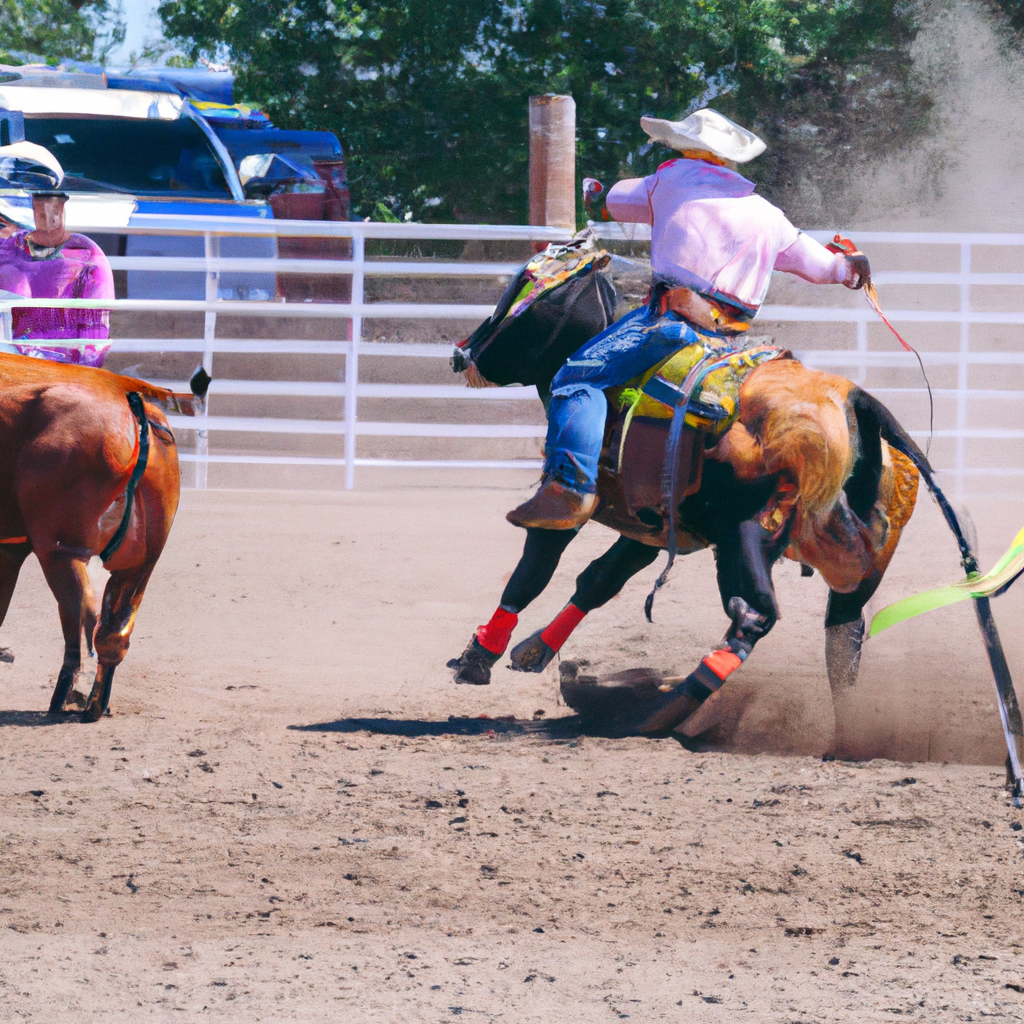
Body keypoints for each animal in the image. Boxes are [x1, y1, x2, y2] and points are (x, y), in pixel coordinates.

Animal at [0, 356, 207, 724]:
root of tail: (125, 391)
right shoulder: (9, 549)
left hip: (61, 551)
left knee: (80, 610)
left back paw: (66, 695)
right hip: (141, 562)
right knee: (111, 629)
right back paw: (94, 703)